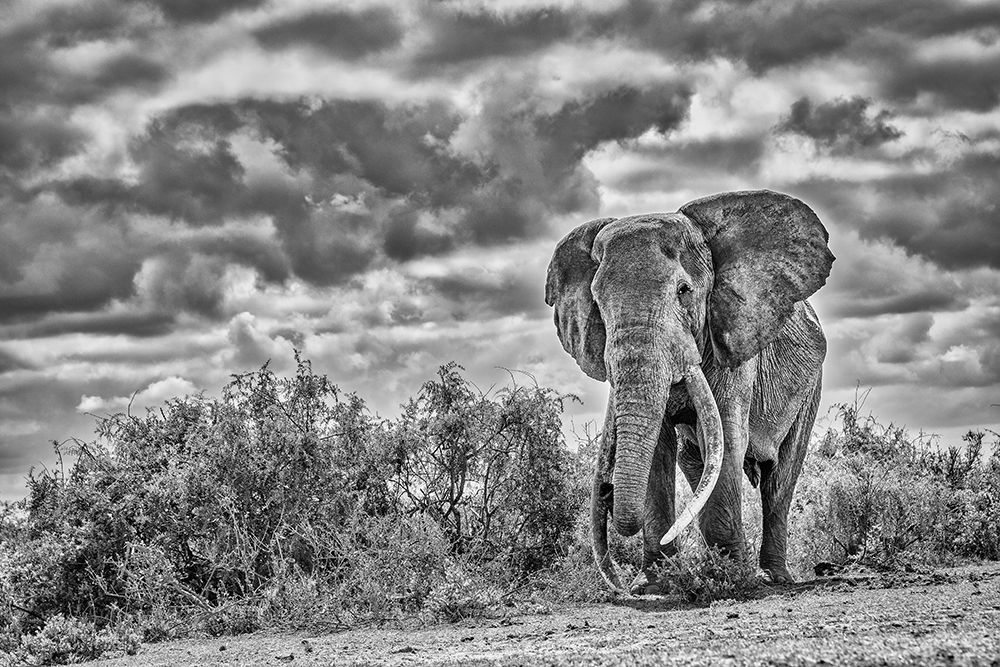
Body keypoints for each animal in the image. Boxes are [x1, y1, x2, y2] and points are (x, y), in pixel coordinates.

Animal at [544, 190, 834, 593]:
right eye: (597, 303)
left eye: (684, 291)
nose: (607, 494)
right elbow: (659, 448)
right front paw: (653, 585)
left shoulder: (732, 340)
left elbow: (729, 434)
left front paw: (731, 578)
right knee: (698, 464)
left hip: (811, 385)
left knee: (780, 479)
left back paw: (772, 577)